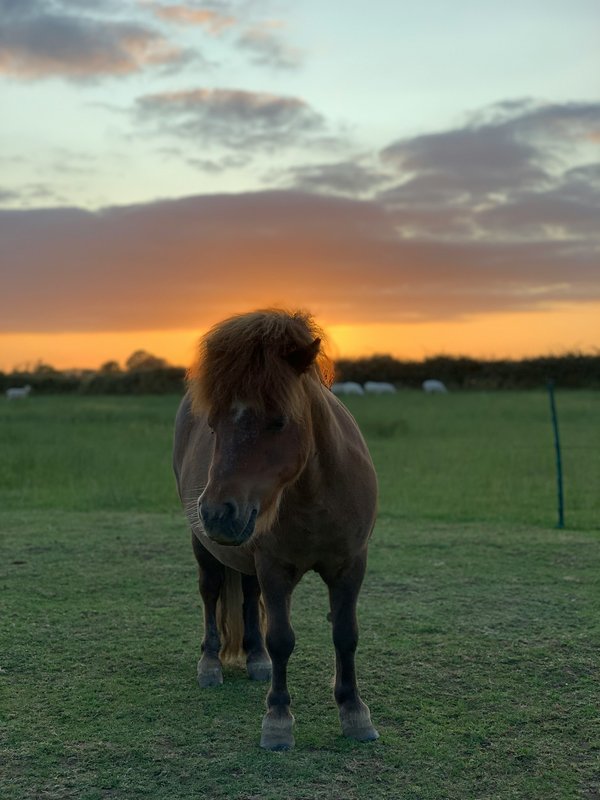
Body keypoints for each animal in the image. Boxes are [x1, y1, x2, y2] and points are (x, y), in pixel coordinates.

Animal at [173, 309, 379, 750]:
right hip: (204, 548)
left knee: (249, 597)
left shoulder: (350, 566)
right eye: (213, 424)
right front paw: (278, 720)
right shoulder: (275, 570)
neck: (315, 495)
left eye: (279, 421)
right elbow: (282, 638)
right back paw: (210, 664)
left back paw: (255, 659)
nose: (217, 513)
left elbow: (346, 634)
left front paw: (354, 712)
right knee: (210, 592)